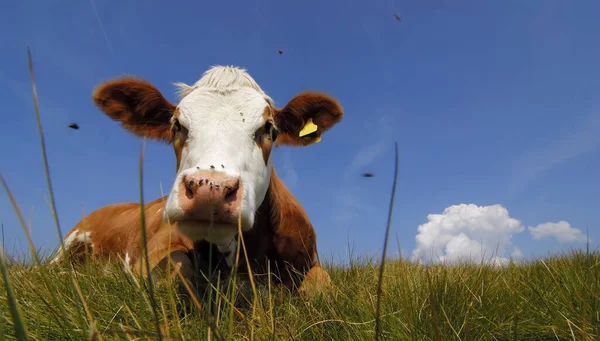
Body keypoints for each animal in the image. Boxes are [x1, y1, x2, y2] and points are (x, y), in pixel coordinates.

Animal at [52, 65, 342, 298]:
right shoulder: (156, 251)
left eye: (269, 129)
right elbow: (175, 274)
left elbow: (321, 287)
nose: (210, 191)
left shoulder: (311, 262)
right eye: (176, 125)